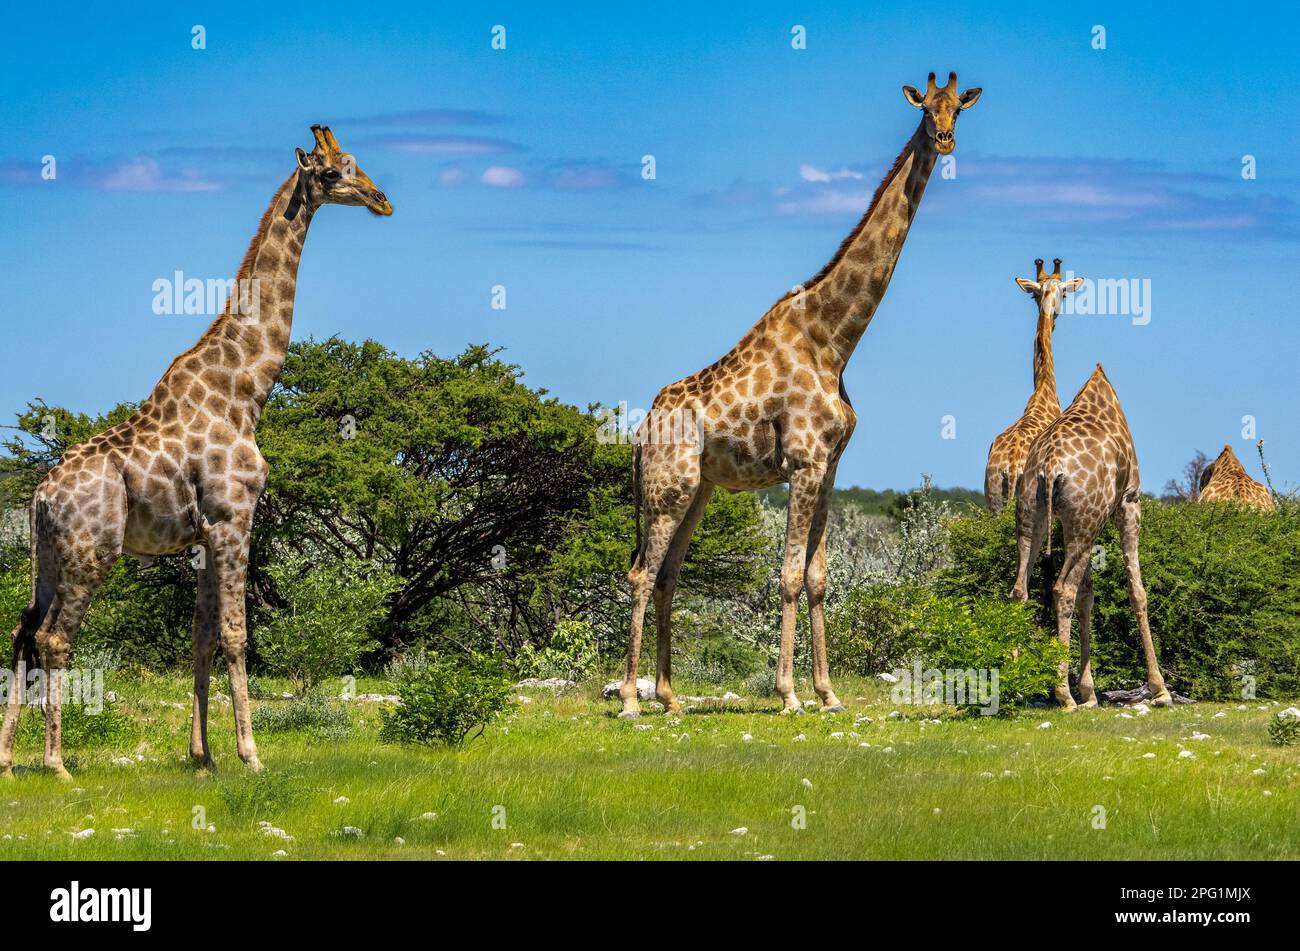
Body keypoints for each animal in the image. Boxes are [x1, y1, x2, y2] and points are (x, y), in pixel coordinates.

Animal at [0, 124, 390, 779]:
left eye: (355, 163)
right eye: (335, 171)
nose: (382, 199)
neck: (247, 389)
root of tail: (38, 496)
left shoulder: (207, 532)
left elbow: (201, 636)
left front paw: (202, 754)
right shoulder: (234, 519)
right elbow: (235, 634)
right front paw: (251, 754)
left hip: (48, 557)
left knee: (23, 630)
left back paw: (7, 757)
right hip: (91, 551)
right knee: (55, 637)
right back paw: (55, 763)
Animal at [616, 72, 977, 711]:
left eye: (959, 108)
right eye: (924, 108)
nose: (944, 138)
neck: (833, 340)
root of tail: (639, 436)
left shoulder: (830, 466)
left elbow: (818, 578)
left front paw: (827, 693)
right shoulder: (803, 462)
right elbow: (785, 576)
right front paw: (788, 694)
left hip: (698, 491)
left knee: (668, 575)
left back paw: (670, 696)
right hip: (666, 490)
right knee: (640, 573)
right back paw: (633, 700)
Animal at [982, 254, 1086, 511]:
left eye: (1034, 295)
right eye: (1066, 294)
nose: (1055, 317)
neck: (1044, 389)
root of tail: (1010, 467)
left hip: (993, 499)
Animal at [1008, 363, 1175, 711]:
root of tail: (1049, 465)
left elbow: (1089, 594)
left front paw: (1089, 691)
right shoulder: (1129, 502)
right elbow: (1136, 591)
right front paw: (1160, 689)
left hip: (1036, 512)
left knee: (1020, 589)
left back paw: (1018, 683)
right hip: (1089, 517)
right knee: (1063, 589)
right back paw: (1063, 694)